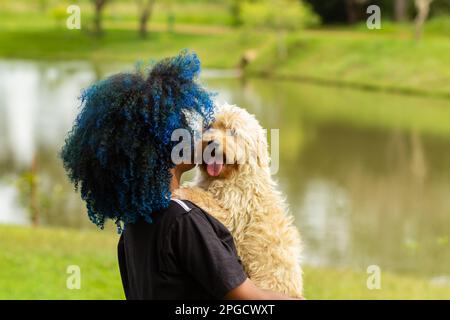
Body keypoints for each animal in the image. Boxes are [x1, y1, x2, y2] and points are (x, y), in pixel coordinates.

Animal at [174, 102, 304, 298]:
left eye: (233, 132)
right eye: (209, 127)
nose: (212, 142)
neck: (230, 177)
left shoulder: (233, 214)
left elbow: (205, 198)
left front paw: (183, 192)